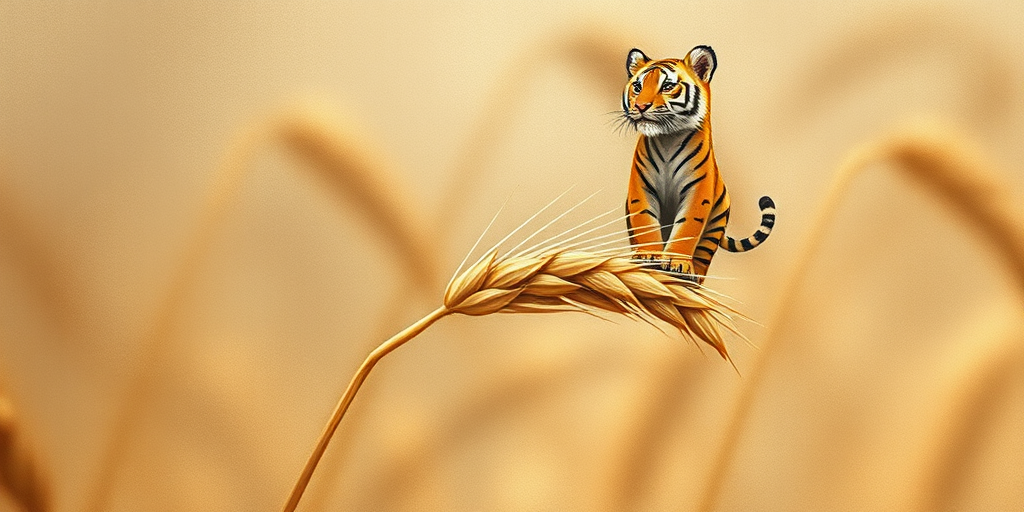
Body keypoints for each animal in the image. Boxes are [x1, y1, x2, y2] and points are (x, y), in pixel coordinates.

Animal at [621, 45, 776, 281]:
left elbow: (687, 228)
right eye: (637, 87)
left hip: (712, 231)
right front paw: (647, 257)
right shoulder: (641, 190)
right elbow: (645, 222)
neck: (667, 139)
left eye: (667, 86)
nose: (640, 106)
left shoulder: (697, 193)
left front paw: (676, 262)